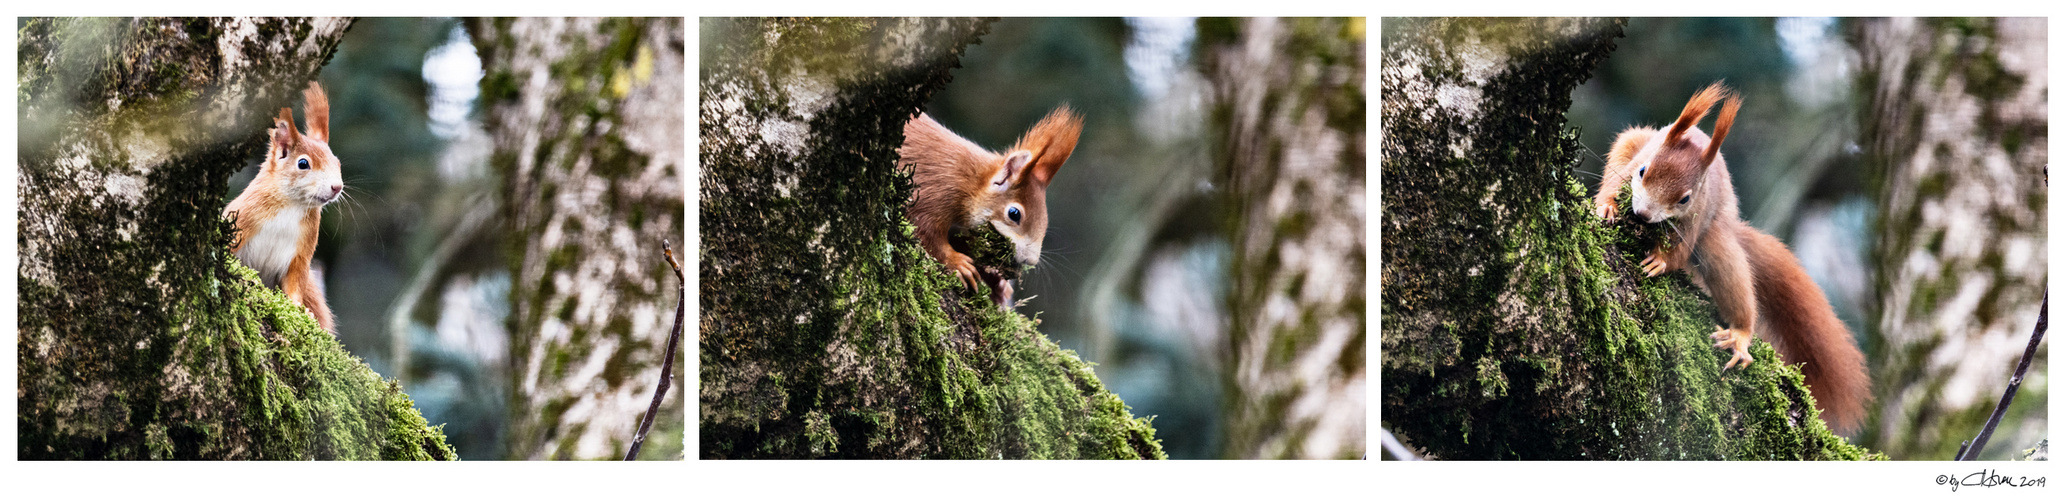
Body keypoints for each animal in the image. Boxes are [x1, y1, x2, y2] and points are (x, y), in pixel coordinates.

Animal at [224, 81, 345, 332]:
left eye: (338, 163)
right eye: (303, 163)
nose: (337, 187)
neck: (292, 204)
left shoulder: (301, 253)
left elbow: (294, 285)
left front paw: (300, 311)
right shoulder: (242, 220)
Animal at [892, 106, 1083, 305]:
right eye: (1014, 214)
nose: (1030, 260)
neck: (973, 182)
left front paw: (998, 283)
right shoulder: (933, 192)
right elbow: (925, 231)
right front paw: (958, 264)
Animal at [1595, 83, 1876, 433]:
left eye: (1685, 198)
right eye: (1644, 171)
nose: (1643, 214)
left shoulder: (1696, 216)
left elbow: (1680, 251)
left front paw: (1660, 262)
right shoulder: (1629, 166)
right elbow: (1612, 186)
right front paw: (1606, 207)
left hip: (1717, 239)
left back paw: (1740, 335)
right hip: (1631, 140)